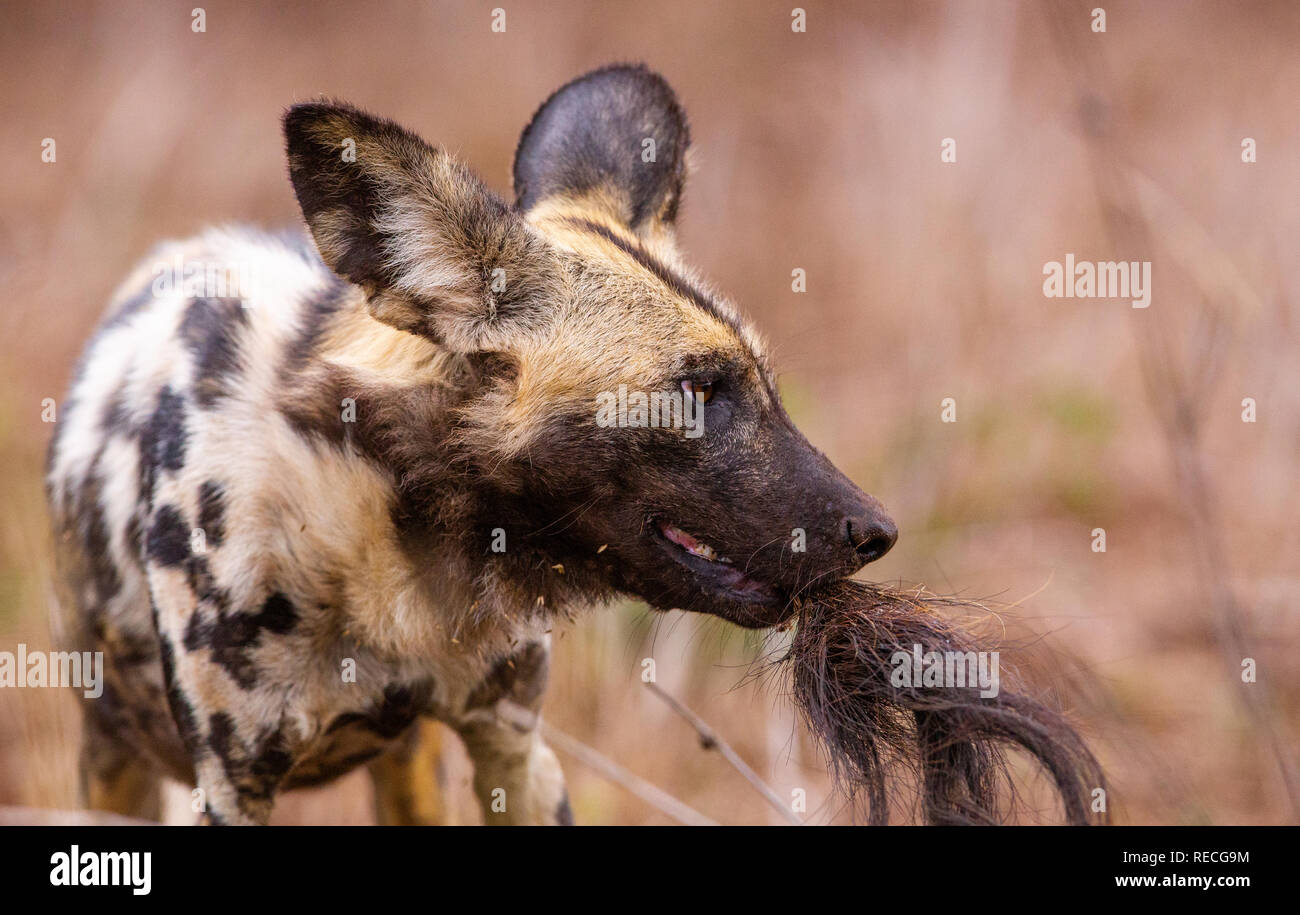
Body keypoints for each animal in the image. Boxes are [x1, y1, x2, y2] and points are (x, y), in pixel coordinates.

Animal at [43, 62, 894, 821]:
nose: (877, 530)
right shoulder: (230, 785)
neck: (394, 535)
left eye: (762, 384)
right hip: (112, 759)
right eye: (698, 390)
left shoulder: (513, 743)